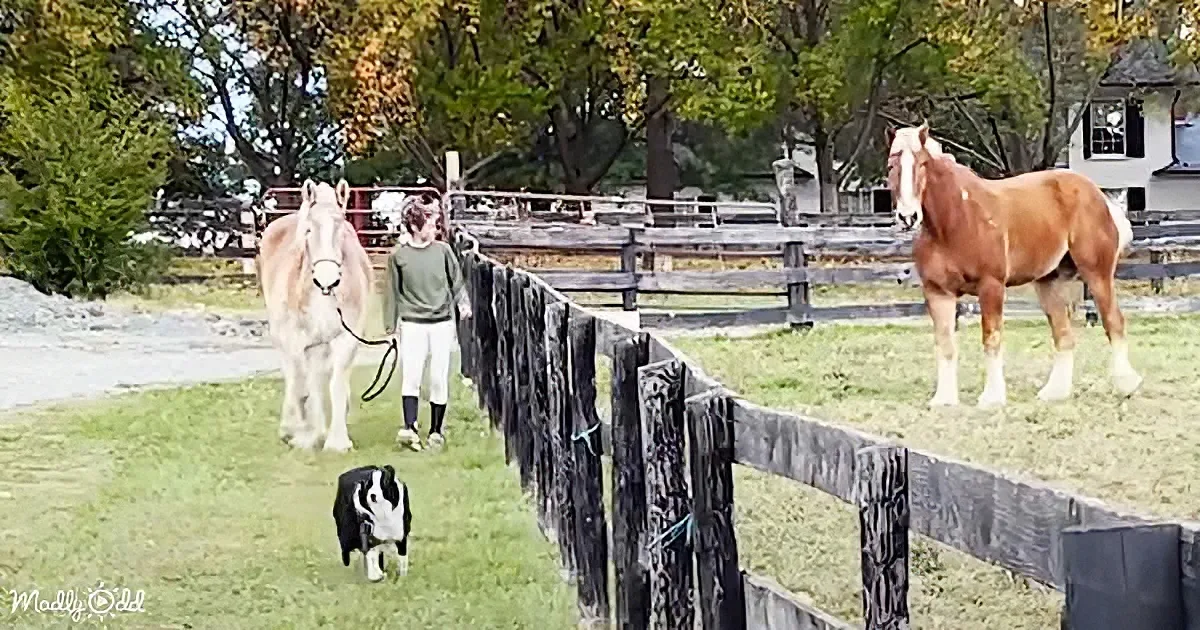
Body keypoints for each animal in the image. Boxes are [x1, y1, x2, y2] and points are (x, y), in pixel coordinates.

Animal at [257, 178, 374, 451]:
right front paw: (303, 436)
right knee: (295, 378)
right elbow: (302, 387)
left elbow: (335, 385)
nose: (327, 279)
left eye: (341, 227)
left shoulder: (345, 339)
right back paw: (293, 427)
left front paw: (337, 441)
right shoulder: (294, 340)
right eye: (309, 230)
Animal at [886, 123, 1142, 408]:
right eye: (891, 165)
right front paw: (944, 399)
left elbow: (991, 338)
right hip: (1048, 283)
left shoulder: (991, 286)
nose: (908, 217)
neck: (954, 220)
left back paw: (1126, 385)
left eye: (922, 164)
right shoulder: (937, 292)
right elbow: (945, 343)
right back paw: (1054, 393)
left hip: (1097, 275)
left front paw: (992, 398)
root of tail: (1098, 196)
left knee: (1113, 322)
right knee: (1064, 336)